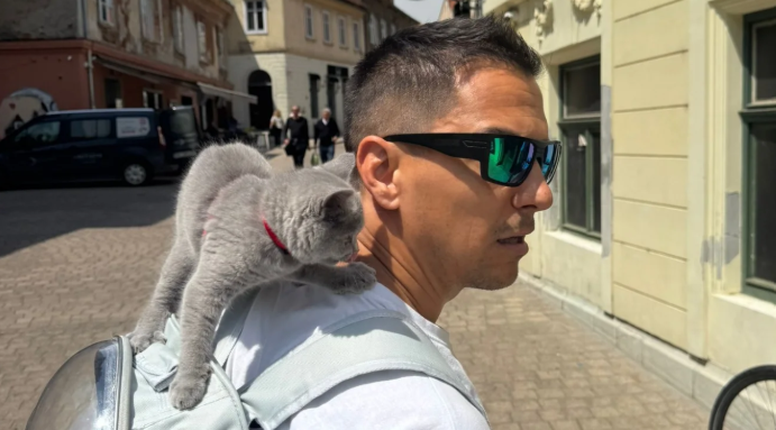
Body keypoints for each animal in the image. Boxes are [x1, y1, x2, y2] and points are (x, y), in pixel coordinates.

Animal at [129, 142, 374, 410]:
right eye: (348, 238)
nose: (355, 251)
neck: (271, 238)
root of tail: (218, 146)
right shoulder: (206, 286)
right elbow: (194, 336)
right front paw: (188, 382)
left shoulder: (293, 265)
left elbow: (320, 271)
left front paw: (353, 275)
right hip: (185, 244)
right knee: (165, 287)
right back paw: (145, 333)